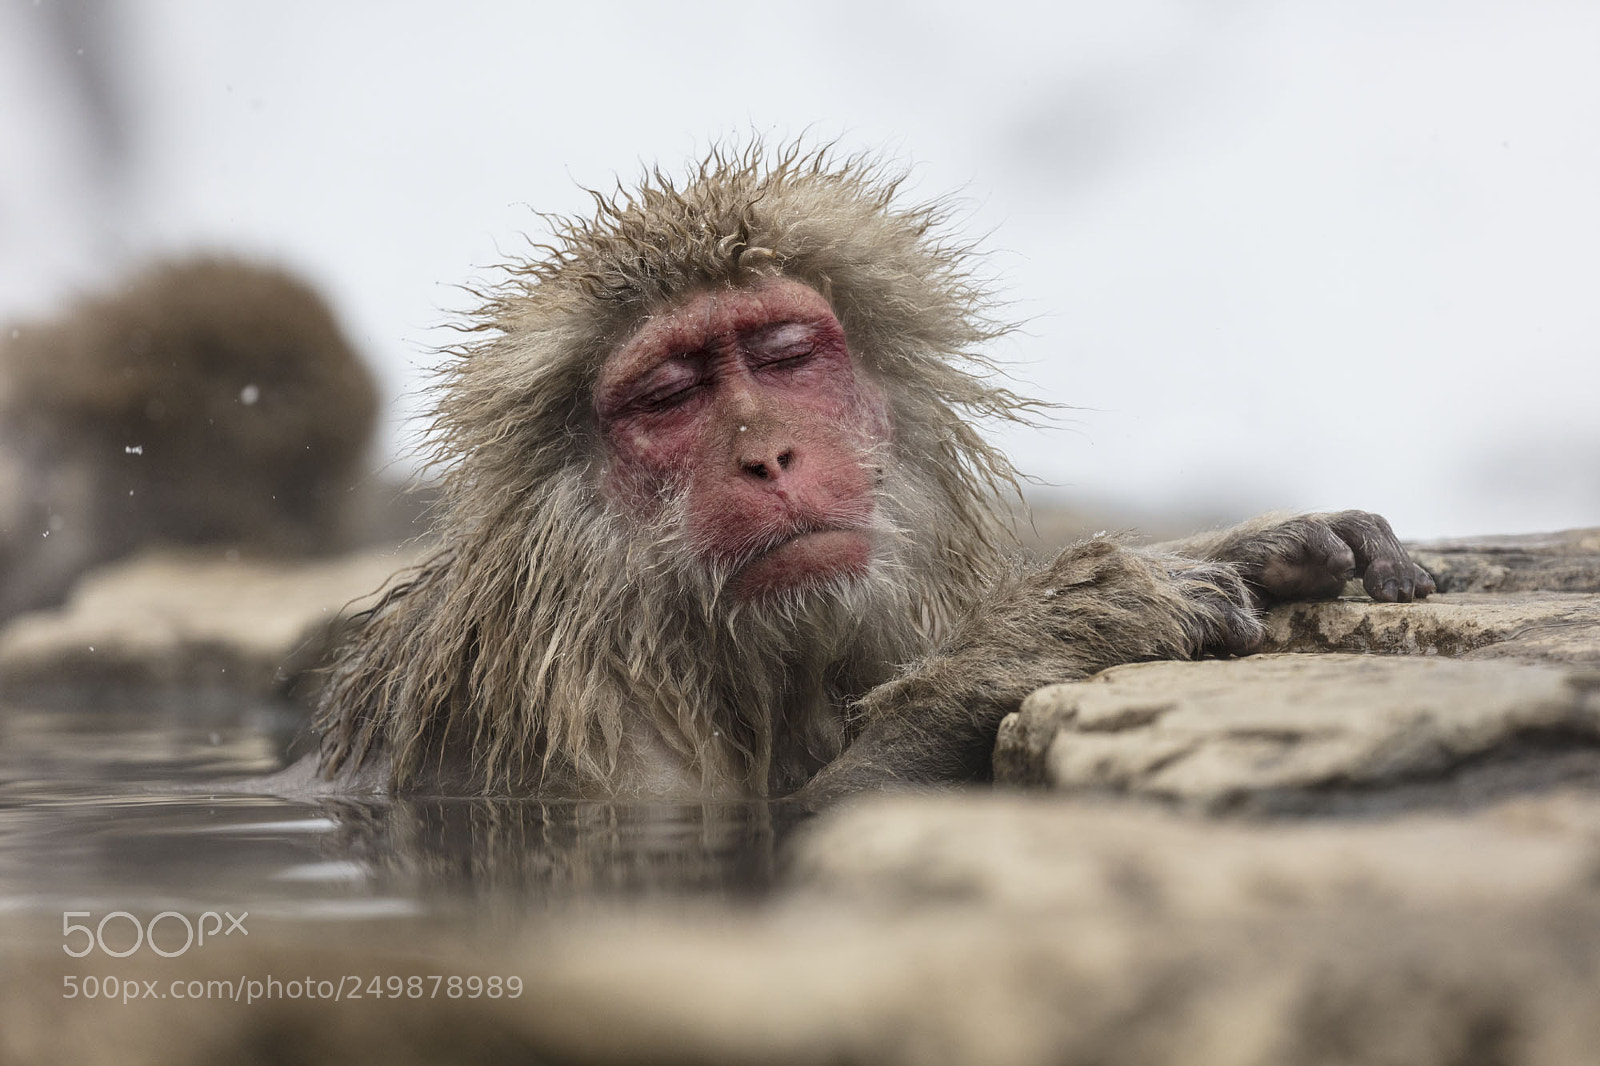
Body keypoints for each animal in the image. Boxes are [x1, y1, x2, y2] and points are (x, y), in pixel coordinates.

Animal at [312, 144, 1433, 804]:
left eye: (783, 354)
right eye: (669, 395)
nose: (768, 454)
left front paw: (1252, 542)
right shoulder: (582, 723)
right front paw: (1052, 629)